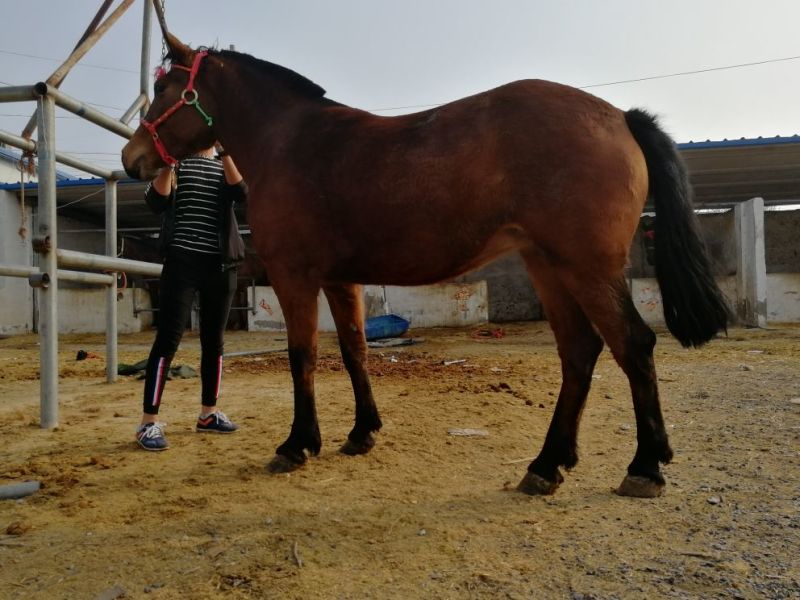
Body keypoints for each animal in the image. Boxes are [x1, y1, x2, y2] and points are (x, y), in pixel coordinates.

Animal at [122, 30, 730, 498]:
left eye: (163, 88)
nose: (133, 160)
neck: (289, 142)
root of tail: (620, 117)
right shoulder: (341, 279)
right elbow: (355, 351)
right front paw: (361, 433)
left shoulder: (296, 277)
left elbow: (303, 357)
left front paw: (298, 444)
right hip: (549, 266)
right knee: (580, 352)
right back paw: (546, 465)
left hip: (586, 269)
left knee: (633, 346)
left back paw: (643, 467)